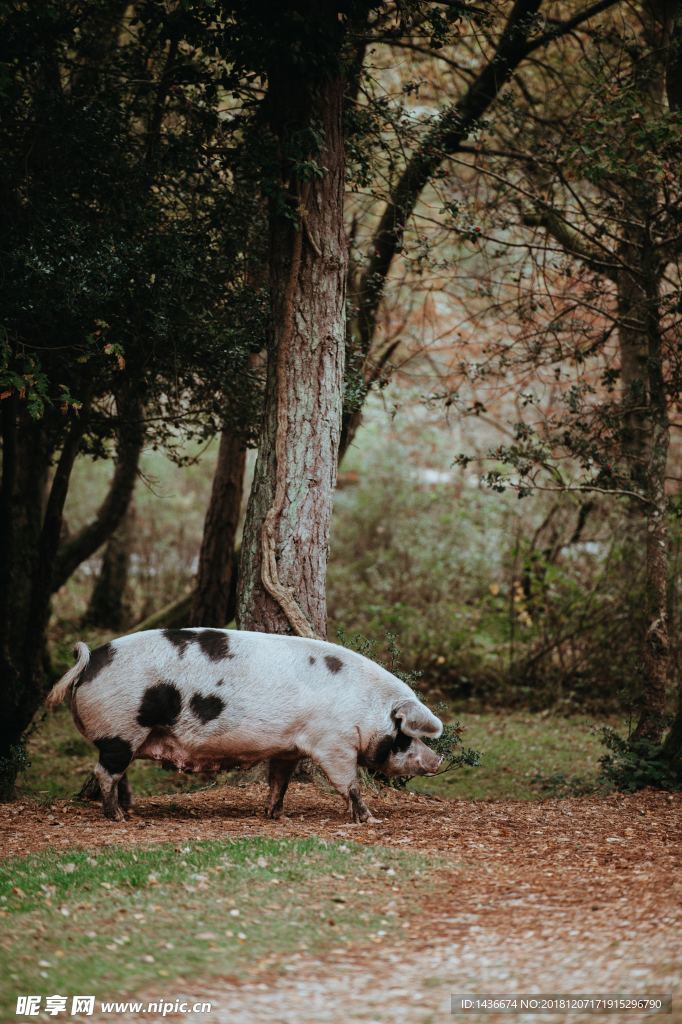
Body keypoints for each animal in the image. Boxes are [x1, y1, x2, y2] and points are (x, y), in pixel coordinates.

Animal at [46, 622, 440, 823]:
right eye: (406, 735)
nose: (438, 759)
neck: (365, 707)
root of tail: (90, 661)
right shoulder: (334, 743)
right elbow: (349, 783)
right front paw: (370, 820)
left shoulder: (289, 746)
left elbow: (280, 781)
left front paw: (275, 815)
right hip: (122, 728)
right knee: (105, 772)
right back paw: (119, 818)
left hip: (128, 734)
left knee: (118, 774)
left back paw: (129, 809)